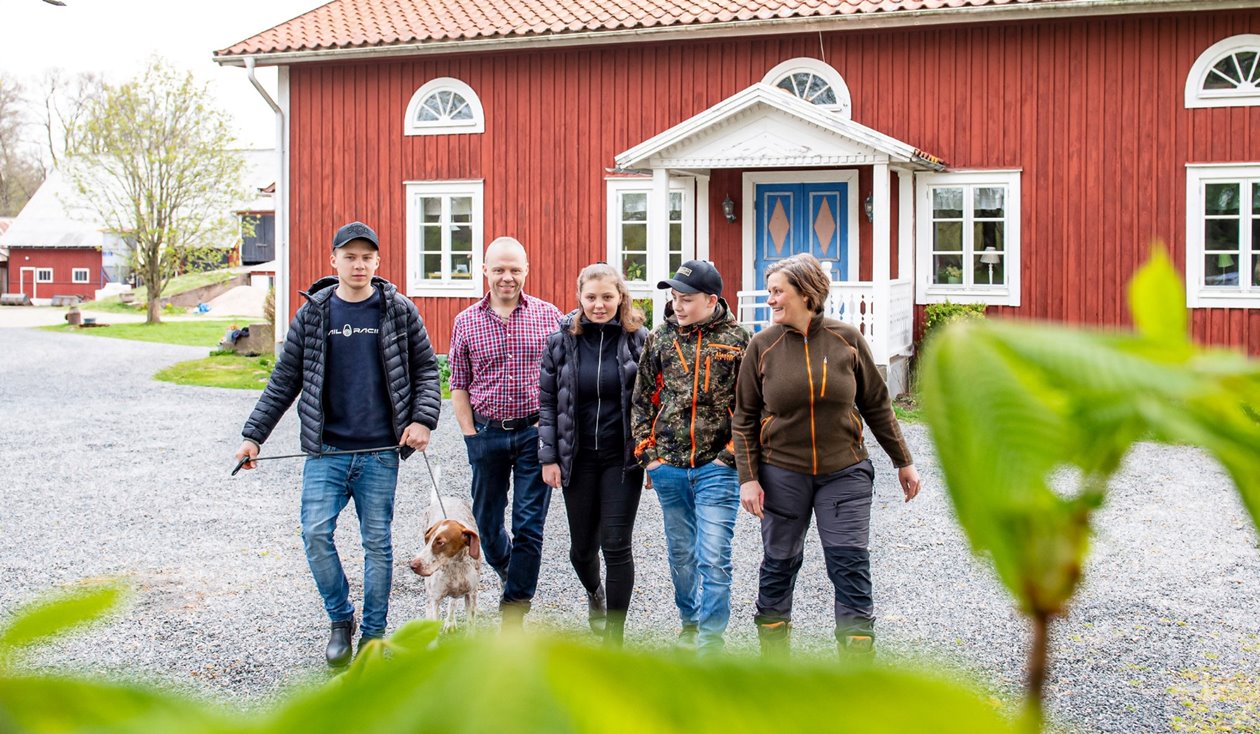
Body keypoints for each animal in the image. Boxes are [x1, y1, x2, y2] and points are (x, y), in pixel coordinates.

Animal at [410, 475, 478, 632]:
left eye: (440, 542)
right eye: (427, 539)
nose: (413, 565)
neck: (455, 565)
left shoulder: (471, 595)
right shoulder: (434, 600)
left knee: (453, 601)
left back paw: (451, 621)